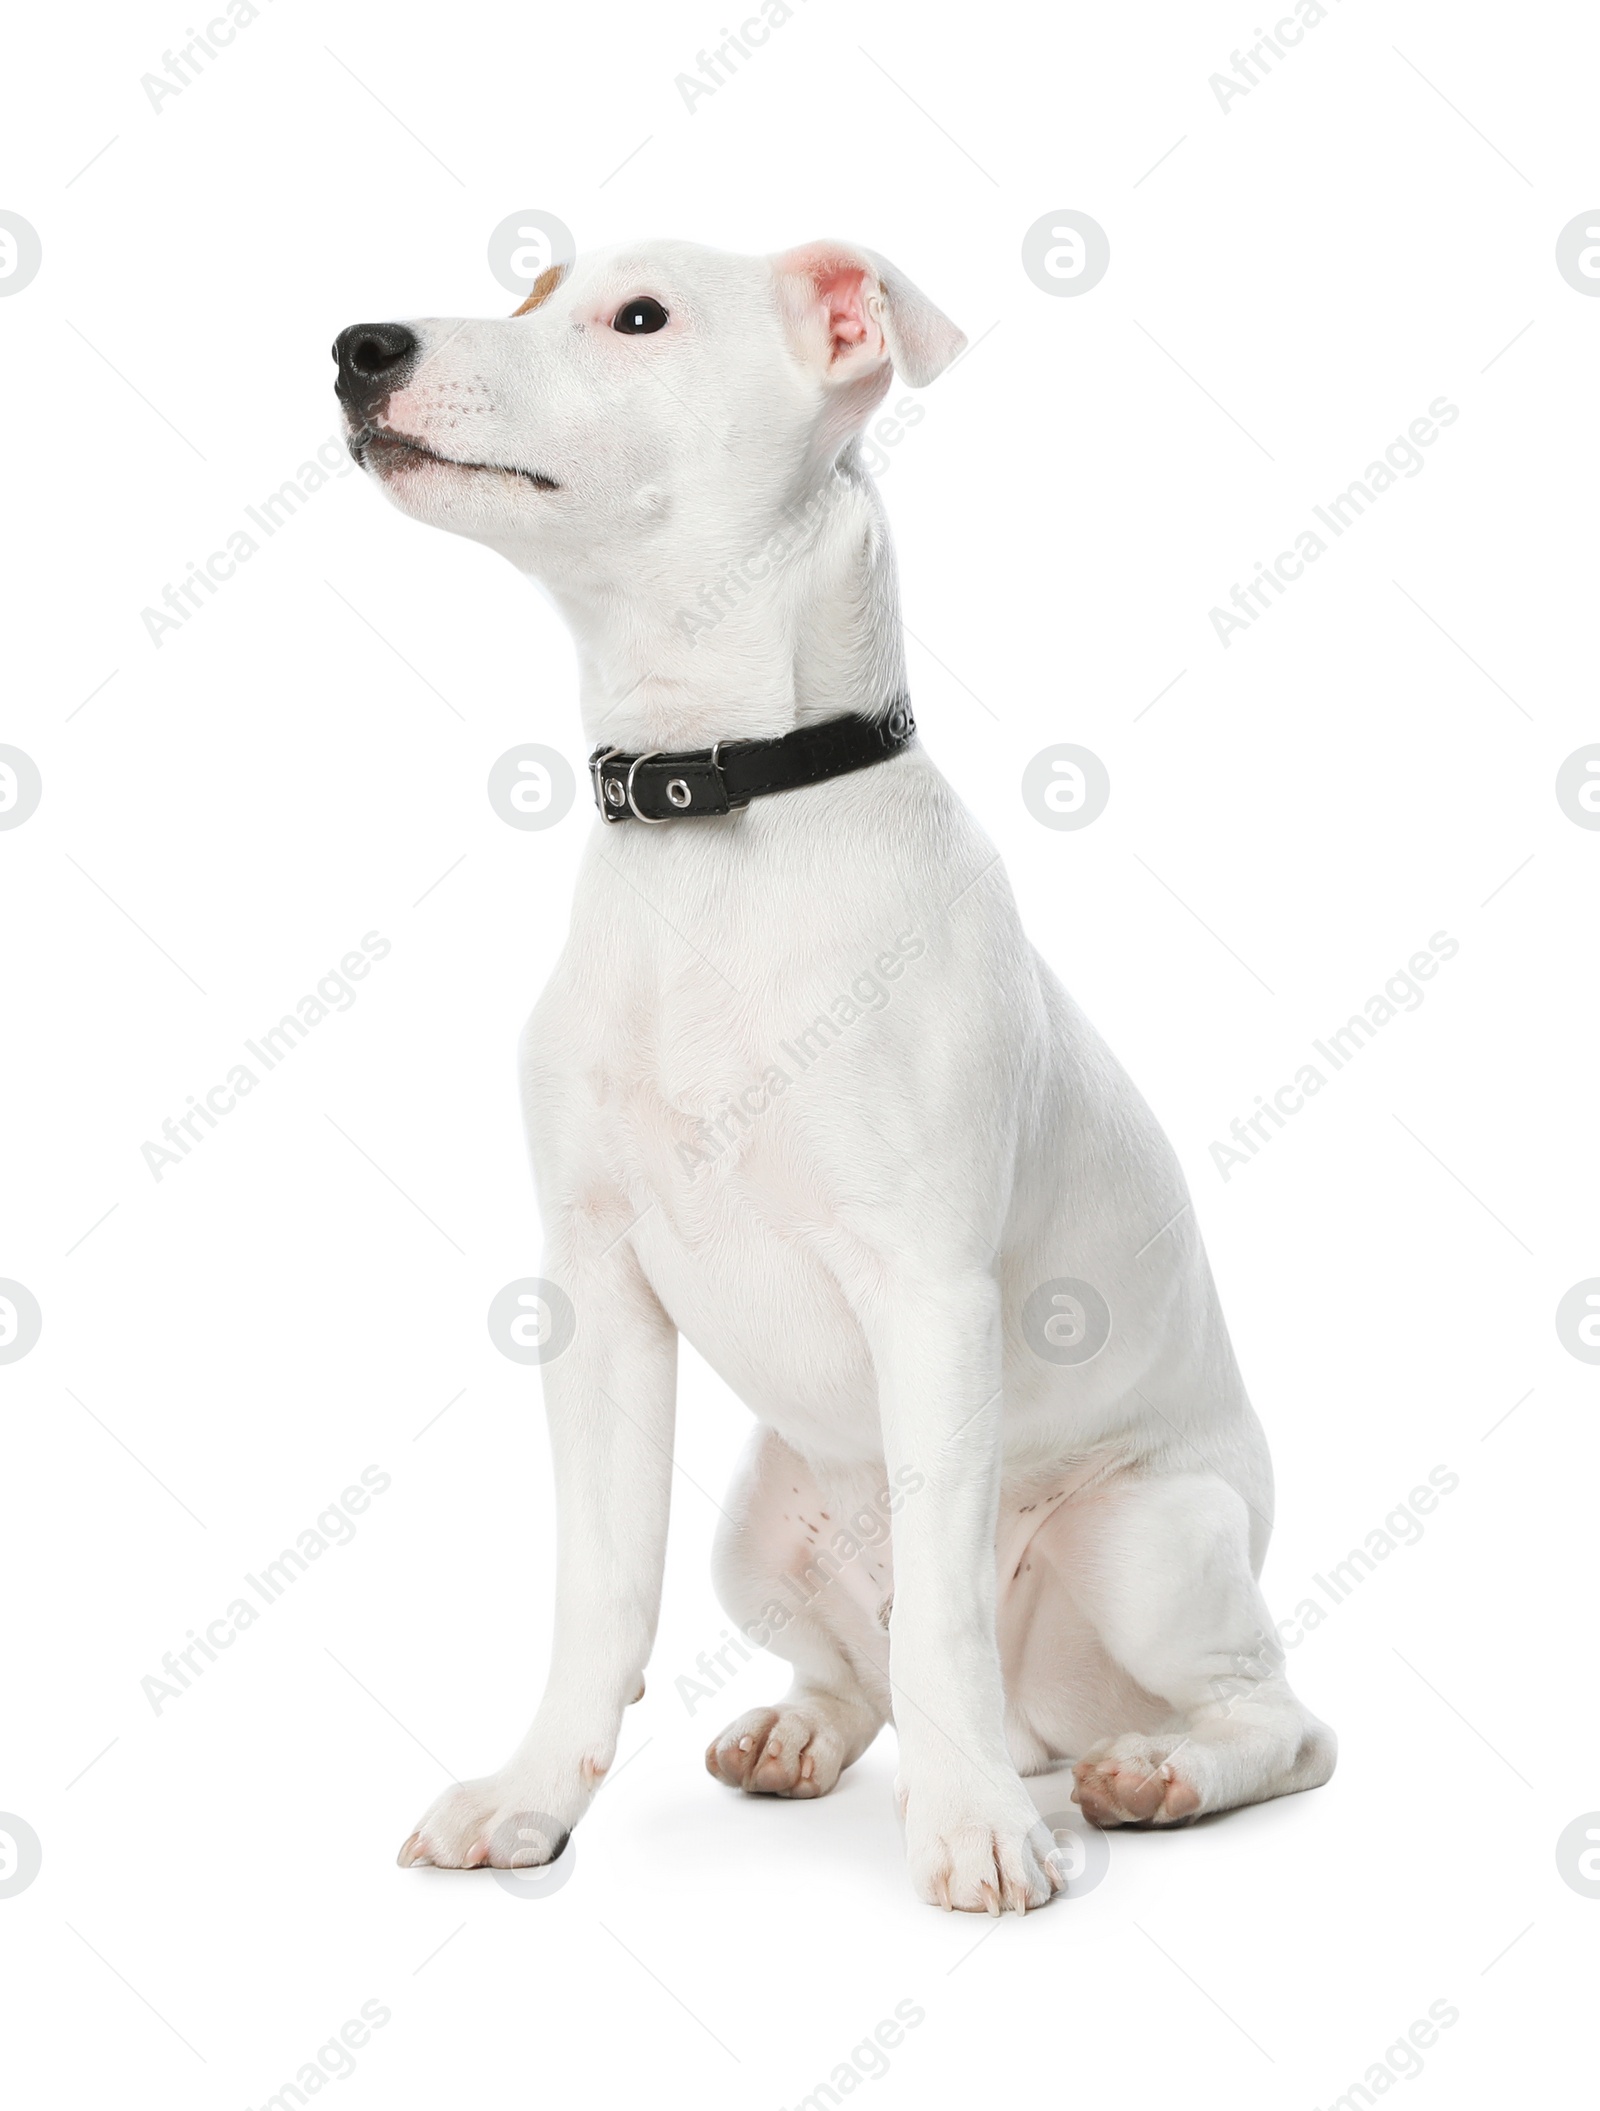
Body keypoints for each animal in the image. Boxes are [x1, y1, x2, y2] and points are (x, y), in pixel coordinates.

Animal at [341, 235, 1342, 1916]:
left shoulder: (930, 1289)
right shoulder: (595, 1291)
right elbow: (598, 1587)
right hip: (760, 1524)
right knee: (866, 1671)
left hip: (1152, 1536)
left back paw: (1144, 1773)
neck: (718, 813)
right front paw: (535, 1795)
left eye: (637, 317)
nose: (358, 346)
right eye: (532, 286)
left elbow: (942, 1611)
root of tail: (1058, 1725)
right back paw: (807, 1732)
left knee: (1267, 1712)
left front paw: (974, 1835)